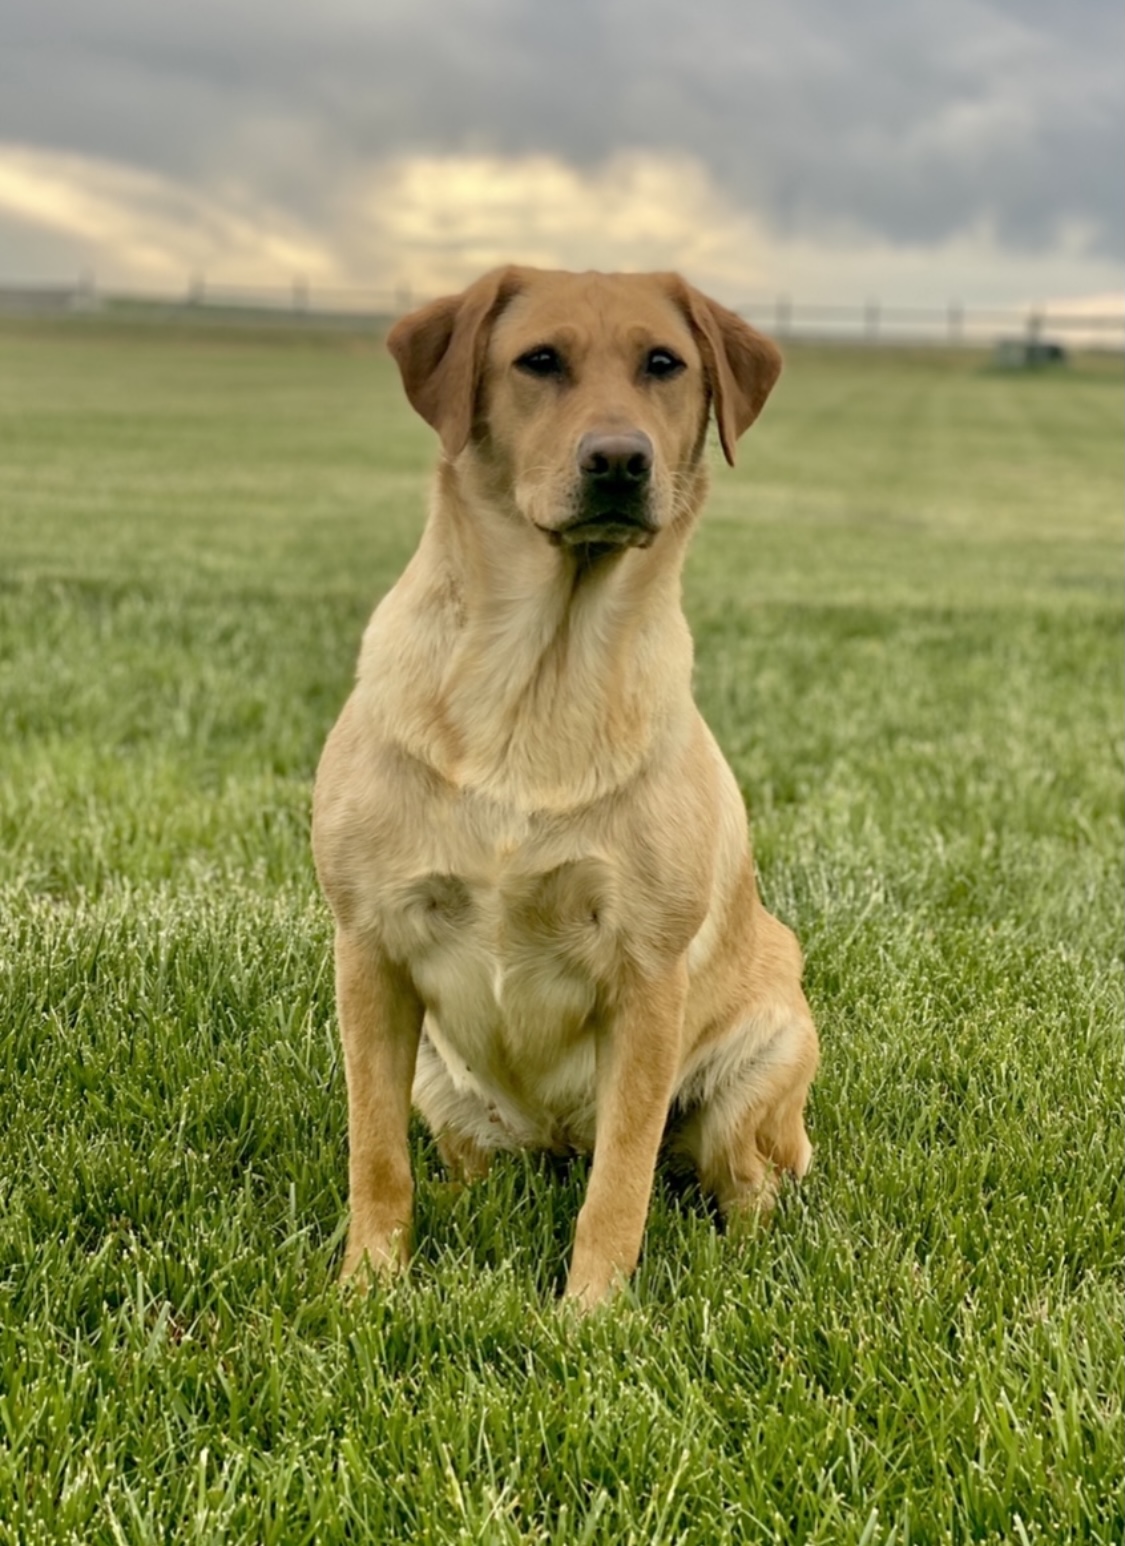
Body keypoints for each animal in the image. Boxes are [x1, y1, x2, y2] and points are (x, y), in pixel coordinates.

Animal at [312, 265, 822, 1304]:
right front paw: (368, 1287)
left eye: (663, 364)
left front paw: (591, 1313)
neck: (537, 679)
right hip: (442, 1083)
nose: (619, 461)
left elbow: (619, 1181)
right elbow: (374, 1155)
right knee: (470, 1169)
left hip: (760, 1067)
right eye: (538, 361)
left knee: (741, 1187)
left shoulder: (645, 977)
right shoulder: (369, 953)